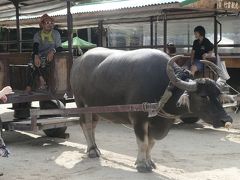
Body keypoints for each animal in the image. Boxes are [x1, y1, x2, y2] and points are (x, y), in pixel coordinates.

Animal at [71, 47, 232, 173]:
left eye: (218, 94)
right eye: (203, 96)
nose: (226, 119)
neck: (165, 89)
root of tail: (78, 62)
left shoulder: (157, 122)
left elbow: (151, 143)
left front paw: (150, 162)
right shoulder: (138, 119)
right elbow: (142, 142)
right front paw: (142, 164)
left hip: (95, 109)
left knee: (92, 125)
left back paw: (94, 148)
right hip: (81, 104)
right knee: (85, 124)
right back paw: (92, 150)